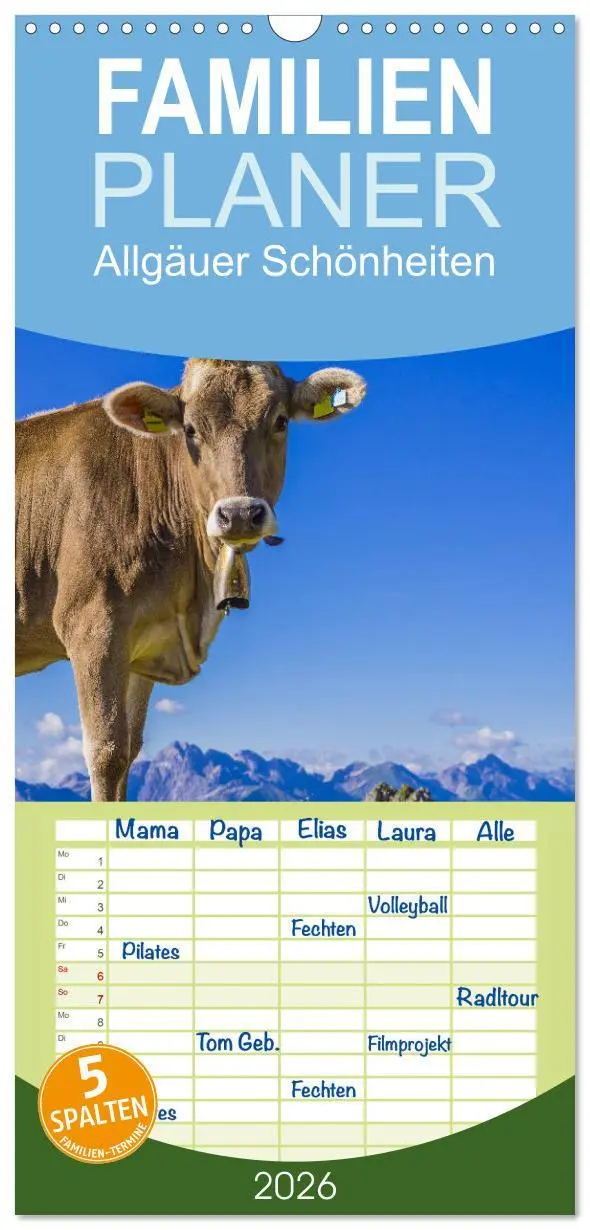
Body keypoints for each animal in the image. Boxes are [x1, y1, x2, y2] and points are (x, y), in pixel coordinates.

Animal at [16, 359, 367, 801]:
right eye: (190, 429)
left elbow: (128, 753)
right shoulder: (92, 626)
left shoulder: (143, 642)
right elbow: (107, 753)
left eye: (281, 421)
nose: (239, 514)